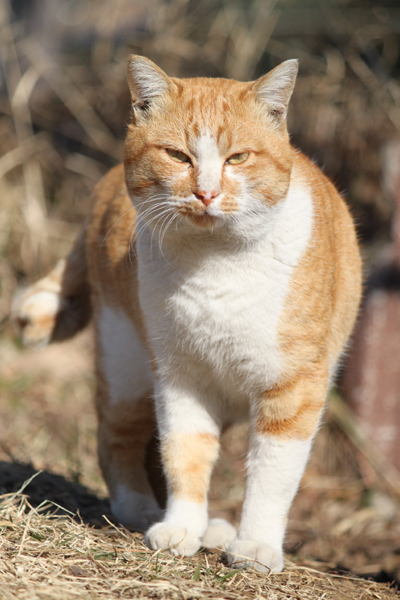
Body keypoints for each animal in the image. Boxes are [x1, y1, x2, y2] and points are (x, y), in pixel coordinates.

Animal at [13, 55, 362, 572]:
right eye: (179, 157)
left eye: (237, 158)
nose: (206, 193)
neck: (215, 265)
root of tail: (103, 184)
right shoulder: (179, 378)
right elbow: (185, 453)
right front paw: (180, 526)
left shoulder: (293, 388)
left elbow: (272, 473)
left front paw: (255, 545)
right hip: (127, 369)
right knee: (116, 439)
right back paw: (140, 509)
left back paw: (213, 528)